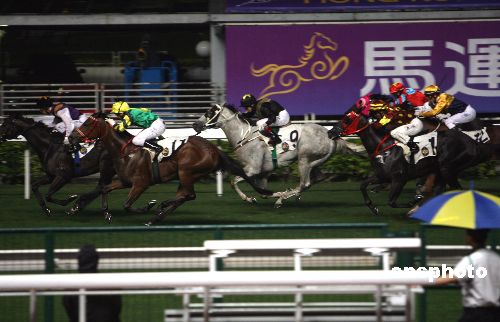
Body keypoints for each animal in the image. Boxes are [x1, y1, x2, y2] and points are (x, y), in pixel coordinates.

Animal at [70, 113, 272, 226]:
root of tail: (214, 149)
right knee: (184, 196)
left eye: (87, 124)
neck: (126, 151)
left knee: (189, 195)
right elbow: (105, 188)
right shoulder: (125, 181)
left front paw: (148, 206)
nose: (71, 138)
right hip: (185, 175)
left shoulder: (141, 183)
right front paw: (106, 213)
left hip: (186, 171)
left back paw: (160, 207)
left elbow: (127, 205)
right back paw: (157, 215)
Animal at [192, 104, 368, 208]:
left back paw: (282, 199)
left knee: (305, 183)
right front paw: (265, 196)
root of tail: (332, 135)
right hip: (316, 161)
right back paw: (289, 195)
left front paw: (251, 198)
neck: (243, 136)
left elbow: (233, 181)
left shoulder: (252, 169)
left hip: (304, 159)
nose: (195, 124)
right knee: (316, 179)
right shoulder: (263, 172)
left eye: (208, 112)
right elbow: (262, 192)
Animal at [336, 102, 492, 214]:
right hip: (442, 171)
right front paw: (374, 208)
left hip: (448, 168)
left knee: (457, 190)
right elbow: (363, 185)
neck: (383, 148)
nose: (332, 132)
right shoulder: (382, 176)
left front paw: (414, 202)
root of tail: (472, 142)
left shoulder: (399, 179)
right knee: (443, 190)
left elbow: (392, 202)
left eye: (347, 119)